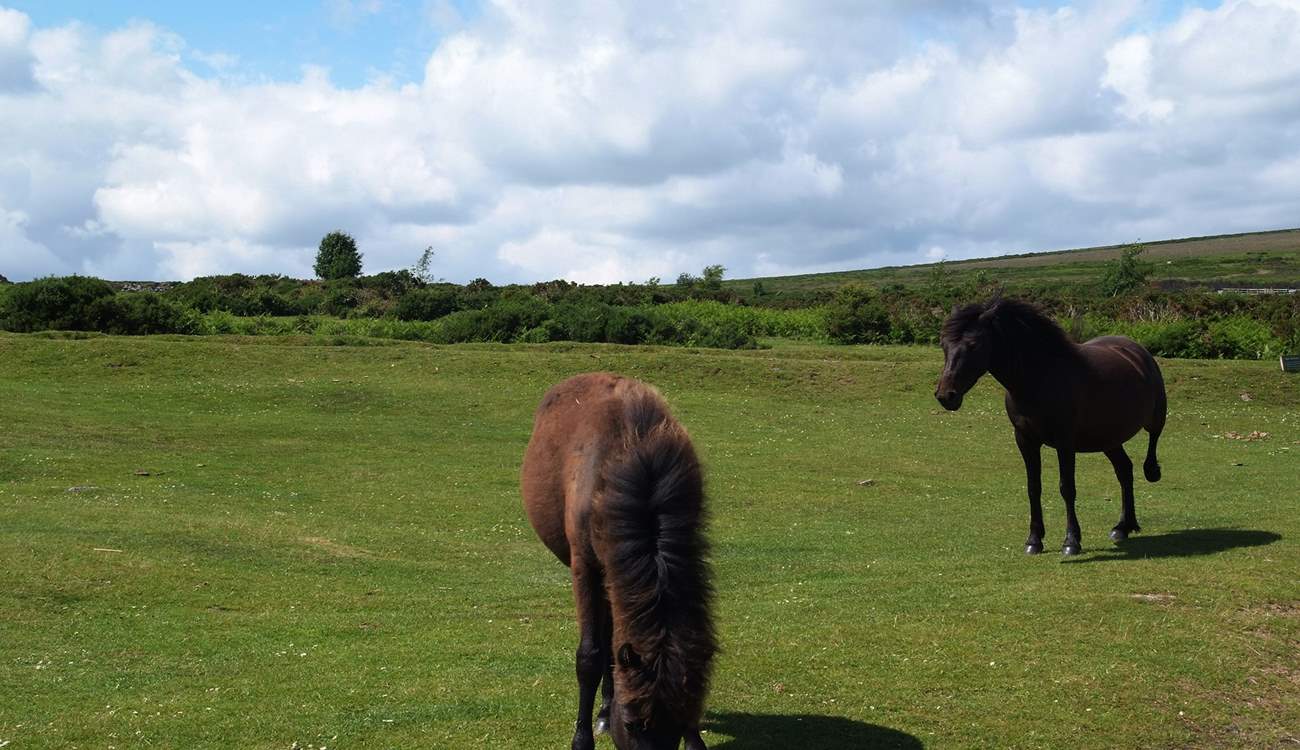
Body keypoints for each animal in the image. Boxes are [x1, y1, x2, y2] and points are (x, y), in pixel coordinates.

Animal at [934, 299, 1167, 556]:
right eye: (944, 344)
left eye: (974, 345)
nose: (946, 396)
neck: (1039, 379)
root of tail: (1135, 349)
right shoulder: (1025, 440)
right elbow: (1033, 487)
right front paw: (1034, 540)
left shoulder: (1065, 442)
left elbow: (1067, 488)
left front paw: (1071, 541)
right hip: (1108, 439)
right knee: (1124, 471)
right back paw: (1123, 526)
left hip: (1153, 417)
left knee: (1153, 439)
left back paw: (1152, 472)